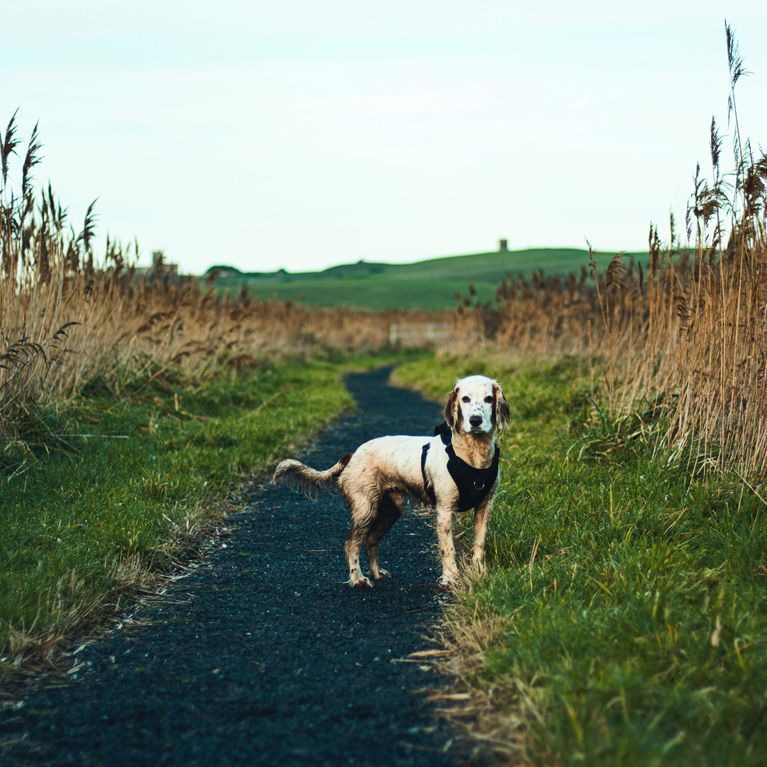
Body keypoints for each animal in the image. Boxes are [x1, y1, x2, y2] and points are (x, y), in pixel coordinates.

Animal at [272, 376, 510, 588]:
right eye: (465, 399)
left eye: (489, 399)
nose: (475, 420)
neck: (472, 456)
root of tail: (353, 454)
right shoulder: (444, 509)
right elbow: (448, 548)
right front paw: (450, 578)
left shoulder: (484, 506)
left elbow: (479, 542)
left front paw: (479, 573)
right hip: (365, 509)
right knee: (351, 543)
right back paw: (357, 579)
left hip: (391, 510)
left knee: (370, 540)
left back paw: (376, 573)